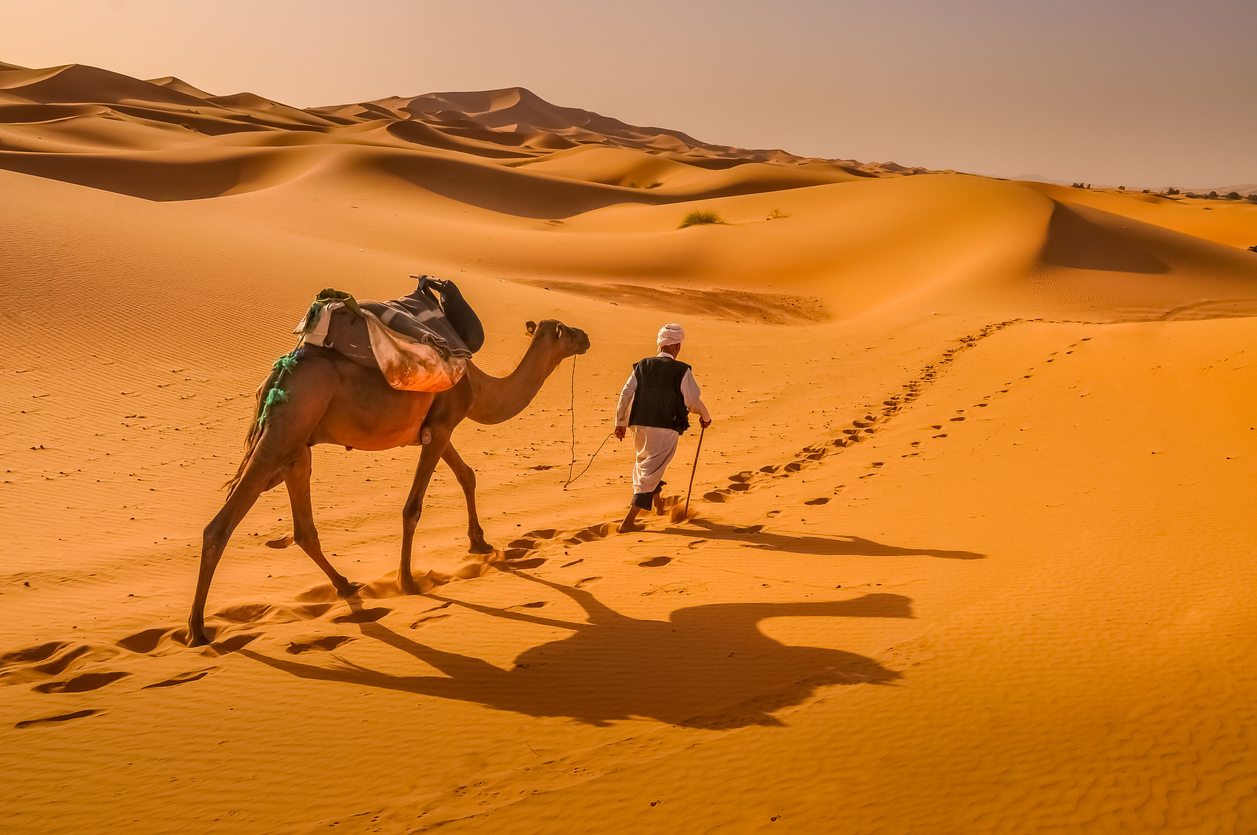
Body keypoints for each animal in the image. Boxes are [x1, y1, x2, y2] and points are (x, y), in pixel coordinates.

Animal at [187, 318, 590, 647]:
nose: (586, 336)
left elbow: (467, 475)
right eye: (566, 330)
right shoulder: (442, 425)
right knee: (219, 527)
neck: (478, 387)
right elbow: (413, 507)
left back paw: (345, 584)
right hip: (282, 434)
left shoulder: (436, 430)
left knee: (304, 529)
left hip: (297, 448)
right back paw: (197, 630)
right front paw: (407, 582)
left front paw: (479, 542)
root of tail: (279, 374)